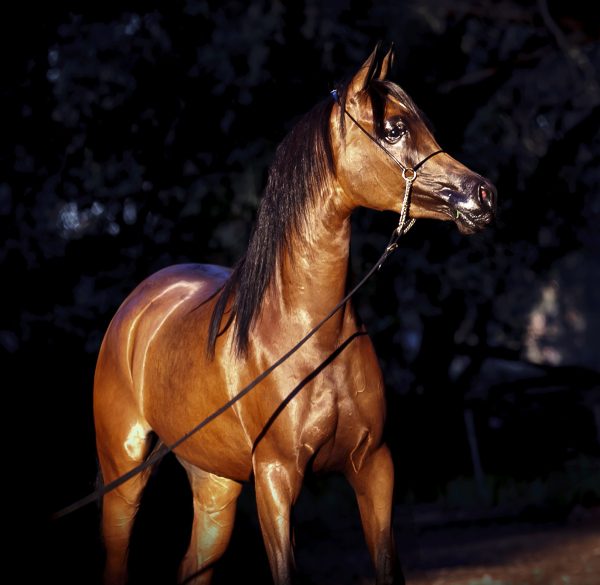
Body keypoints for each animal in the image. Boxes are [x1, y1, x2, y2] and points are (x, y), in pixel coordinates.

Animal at [95, 46, 496, 584]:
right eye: (394, 129)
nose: (483, 195)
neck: (310, 333)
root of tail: (137, 306)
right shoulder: (276, 478)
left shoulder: (374, 468)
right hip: (123, 477)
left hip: (216, 484)